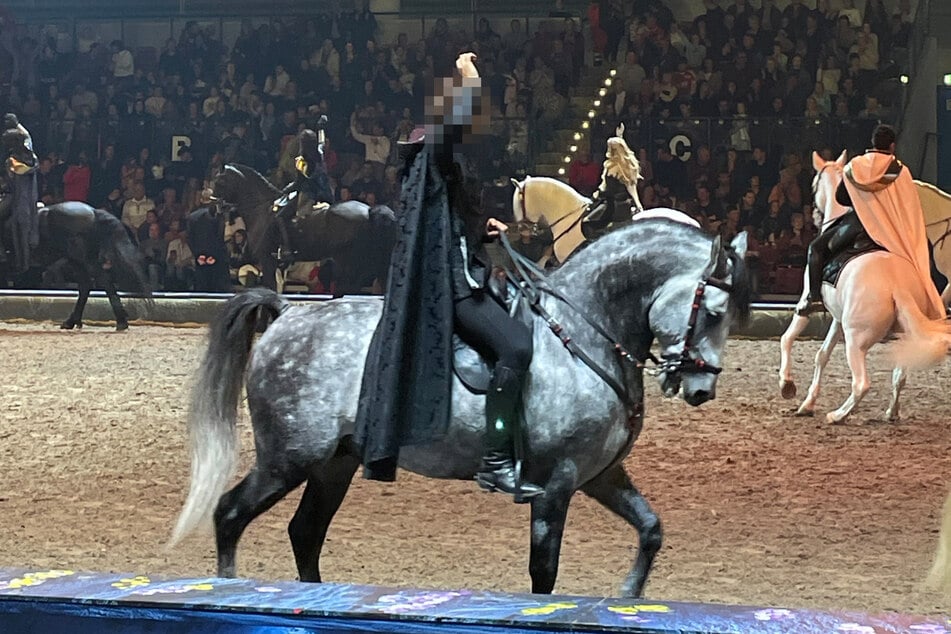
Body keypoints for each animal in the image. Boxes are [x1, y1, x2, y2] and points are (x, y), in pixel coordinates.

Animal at [170, 219, 751, 598]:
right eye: (713, 310)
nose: (700, 389)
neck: (583, 331)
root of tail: (289, 313)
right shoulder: (556, 482)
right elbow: (544, 572)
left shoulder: (600, 475)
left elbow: (651, 530)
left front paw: (629, 597)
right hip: (288, 459)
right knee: (230, 514)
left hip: (335, 463)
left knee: (305, 533)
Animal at [210, 164, 398, 295]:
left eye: (219, 181)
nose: (214, 206)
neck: (260, 208)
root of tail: (369, 210)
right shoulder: (277, 265)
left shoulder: (266, 259)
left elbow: (270, 286)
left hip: (351, 264)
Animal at [777, 152, 949, 423]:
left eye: (813, 185)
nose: (813, 216)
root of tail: (897, 286)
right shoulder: (838, 319)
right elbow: (822, 356)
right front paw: (807, 404)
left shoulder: (807, 301)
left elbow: (787, 337)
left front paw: (787, 385)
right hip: (904, 336)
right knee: (899, 377)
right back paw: (891, 413)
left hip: (856, 340)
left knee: (862, 384)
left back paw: (837, 415)